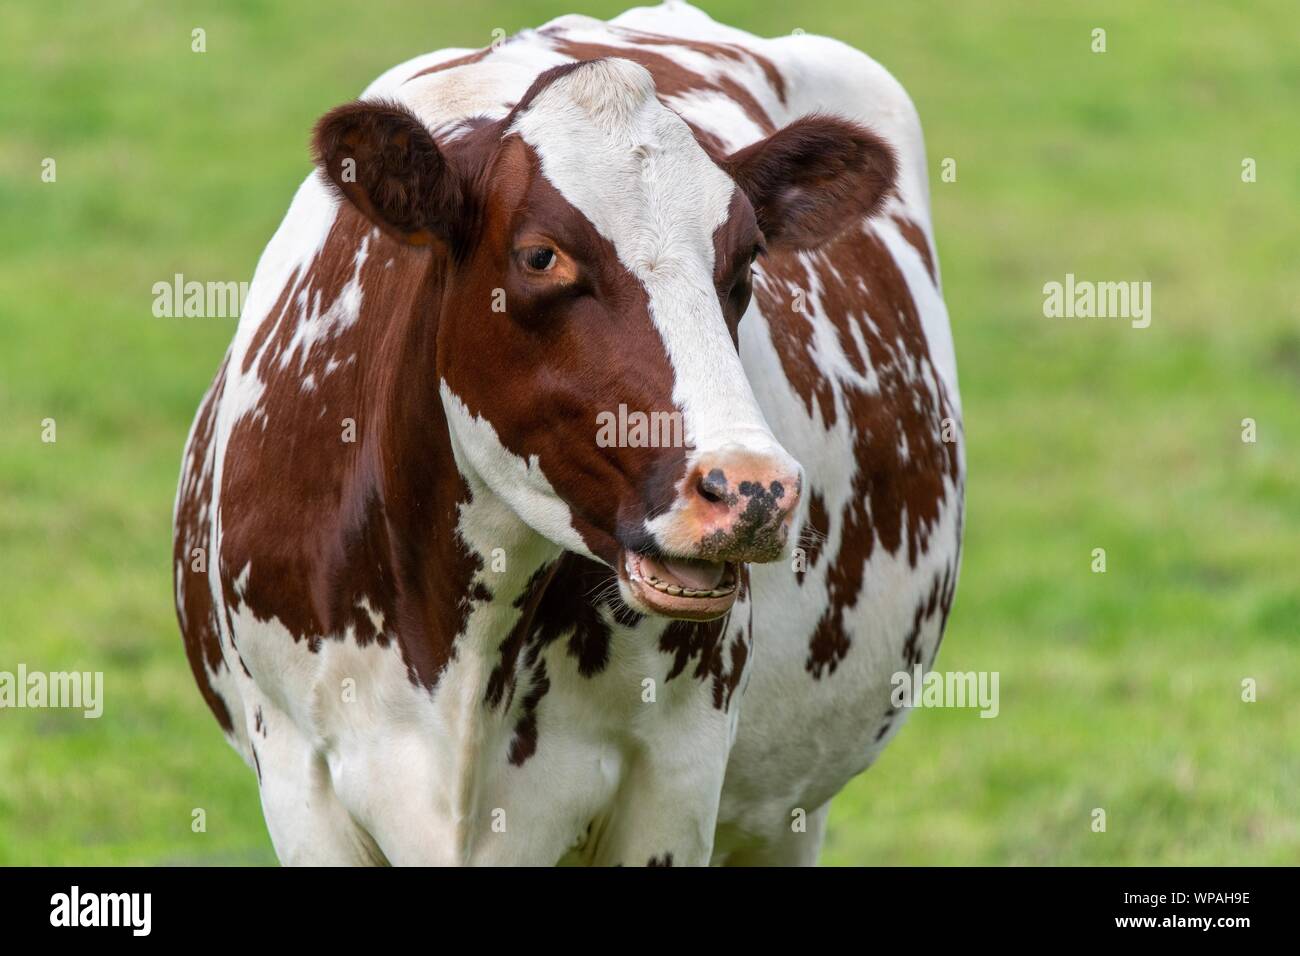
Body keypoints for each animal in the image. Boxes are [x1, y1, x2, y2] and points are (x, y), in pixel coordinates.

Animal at [172, 0, 961, 868]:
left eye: (747, 262)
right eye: (541, 256)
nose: (751, 489)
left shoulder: (676, 777)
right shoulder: (297, 777)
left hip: (788, 808)